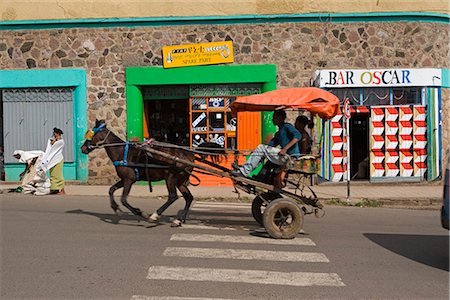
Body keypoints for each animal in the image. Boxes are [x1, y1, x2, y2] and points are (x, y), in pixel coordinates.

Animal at [81, 118, 225, 226]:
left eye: (90, 134)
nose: (82, 148)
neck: (122, 152)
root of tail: (189, 153)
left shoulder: (129, 180)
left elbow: (124, 199)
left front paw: (141, 213)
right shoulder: (124, 179)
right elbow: (111, 190)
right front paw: (116, 209)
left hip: (171, 177)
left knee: (173, 196)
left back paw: (155, 215)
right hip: (181, 180)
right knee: (188, 197)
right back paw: (179, 220)